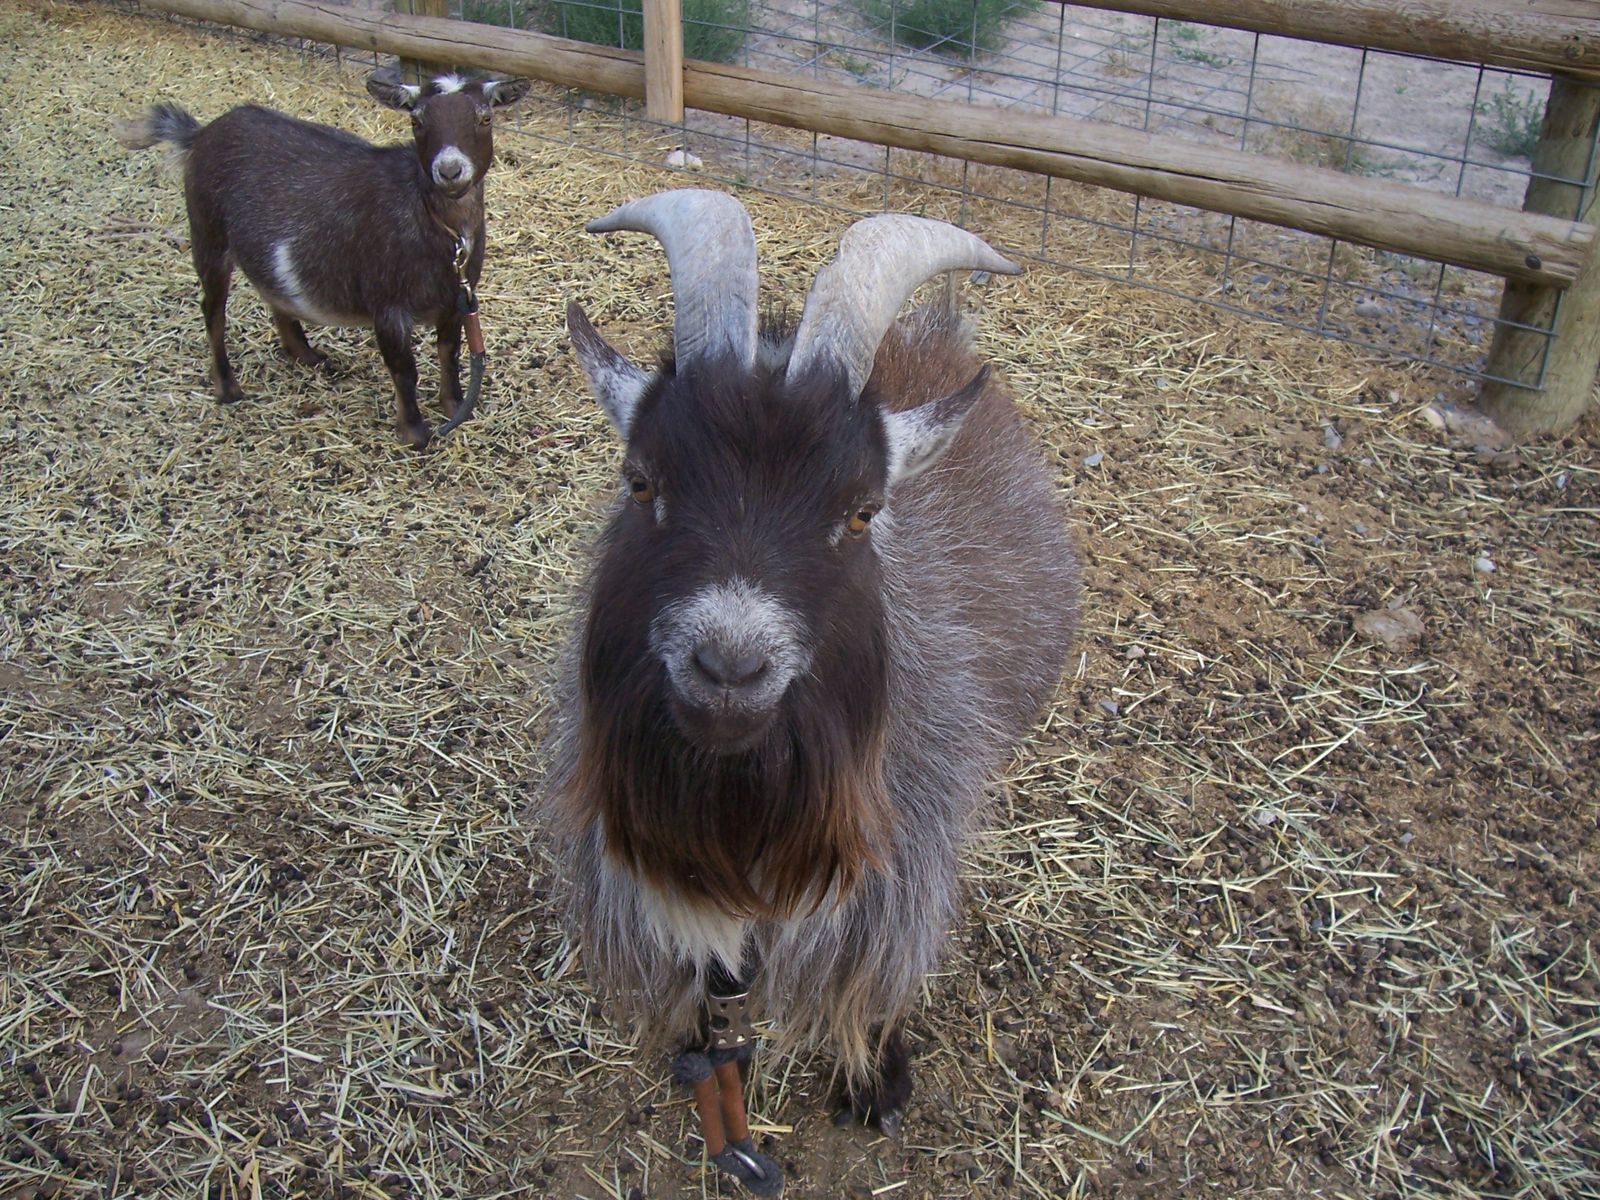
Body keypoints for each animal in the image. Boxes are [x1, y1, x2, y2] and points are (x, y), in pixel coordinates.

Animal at [115, 69, 529, 448]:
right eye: (417, 121)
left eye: (485, 118)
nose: (450, 170)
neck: (436, 224)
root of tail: (201, 134)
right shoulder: (386, 305)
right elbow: (404, 370)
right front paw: (414, 433)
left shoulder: (457, 299)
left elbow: (450, 353)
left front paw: (455, 406)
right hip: (207, 234)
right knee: (213, 310)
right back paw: (227, 387)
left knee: (272, 290)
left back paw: (305, 355)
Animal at [544, 188, 1079, 1193]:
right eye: (641, 481)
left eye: (862, 511)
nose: (729, 668)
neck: (746, 813)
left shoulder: (904, 853)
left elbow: (878, 977)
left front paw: (876, 1080)